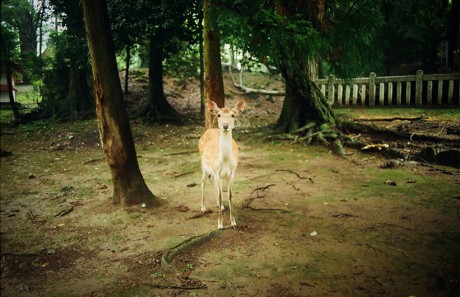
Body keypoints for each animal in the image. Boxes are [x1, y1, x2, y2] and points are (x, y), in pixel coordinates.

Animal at [199, 99, 246, 229]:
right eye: (219, 115)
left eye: (233, 115)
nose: (225, 126)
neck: (224, 161)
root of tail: (208, 130)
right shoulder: (216, 171)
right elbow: (221, 196)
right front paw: (220, 225)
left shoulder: (232, 172)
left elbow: (230, 195)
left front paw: (233, 223)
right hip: (203, 165)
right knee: (203, 181)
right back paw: (203, 207)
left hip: (212, 172)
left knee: (211, 181)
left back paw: (221, 206)